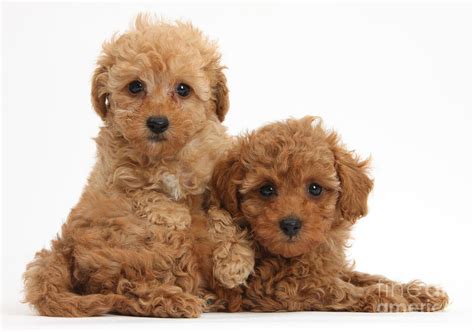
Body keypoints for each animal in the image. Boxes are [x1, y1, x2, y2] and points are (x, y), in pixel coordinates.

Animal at [23, 16, 256, 318]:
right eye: (135, 86)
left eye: (183, 89)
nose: (157, 122)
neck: (166, 156)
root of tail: (63, 248)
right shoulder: (114, 174)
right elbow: (142, 191)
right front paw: (175, 213)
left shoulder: (214, 178)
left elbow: (223, 215)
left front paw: (234, 262)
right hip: (142, 247)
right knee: (126, 289)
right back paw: (174, 300)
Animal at [213, 117, 450, 314]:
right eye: (266, 190)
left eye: (315, 188)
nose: (290, 224)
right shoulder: (276, 286)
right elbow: (335, 288)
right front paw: (381, 296)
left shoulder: (328, 267)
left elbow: (366, 277)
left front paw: (419, 293)